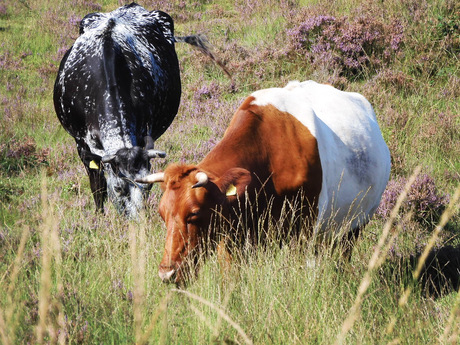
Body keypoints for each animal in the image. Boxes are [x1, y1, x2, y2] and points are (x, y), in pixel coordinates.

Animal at [53, 2, 214, 216]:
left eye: (148, 186)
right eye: (118, 188)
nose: (135, 220)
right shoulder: (82, 145)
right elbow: (97, 186)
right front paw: (99, 216)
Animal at [138, 80, 390, 282]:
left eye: (194, 214)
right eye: (162, 215)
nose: (167, 274)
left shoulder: (304, 229)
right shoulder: (231, 237)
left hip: (355, 224)